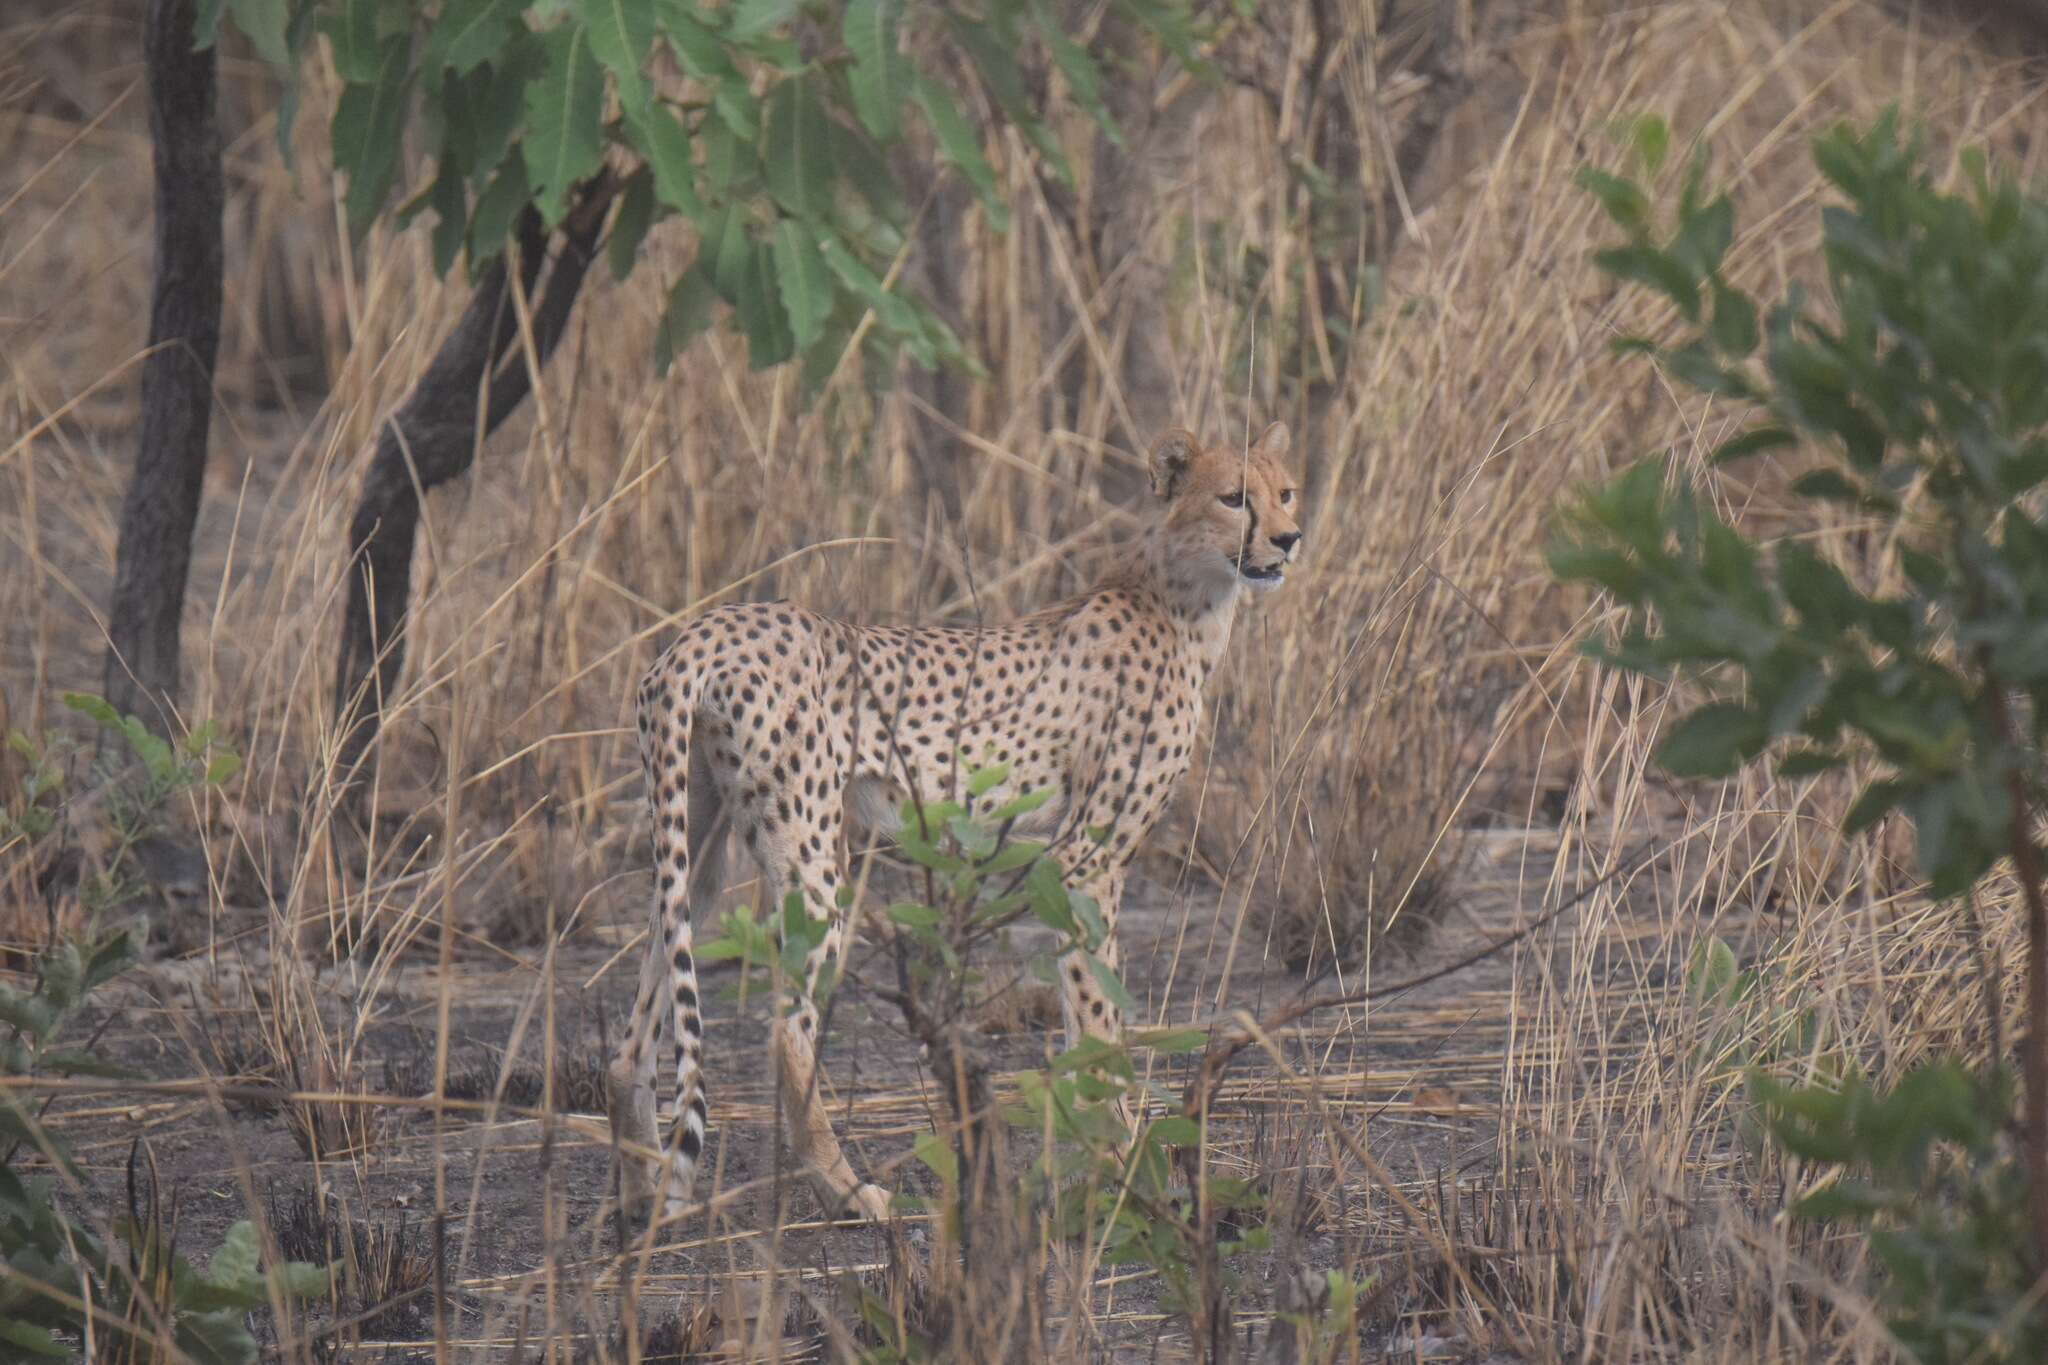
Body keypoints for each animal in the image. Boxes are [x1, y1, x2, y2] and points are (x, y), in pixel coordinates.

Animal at [610, 421, 1310, 1219]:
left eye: (1285, 492)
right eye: (1233, 498)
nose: (1288, 539)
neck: (1181, 597)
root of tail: (707, 627)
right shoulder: (1087, 859)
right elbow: (1098, 1021)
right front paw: (1123, 1166)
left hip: (695, 849)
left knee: (635, 1033)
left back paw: (642, 1195)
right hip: (814, 862)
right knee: (786, 1035)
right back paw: (848, 1189)